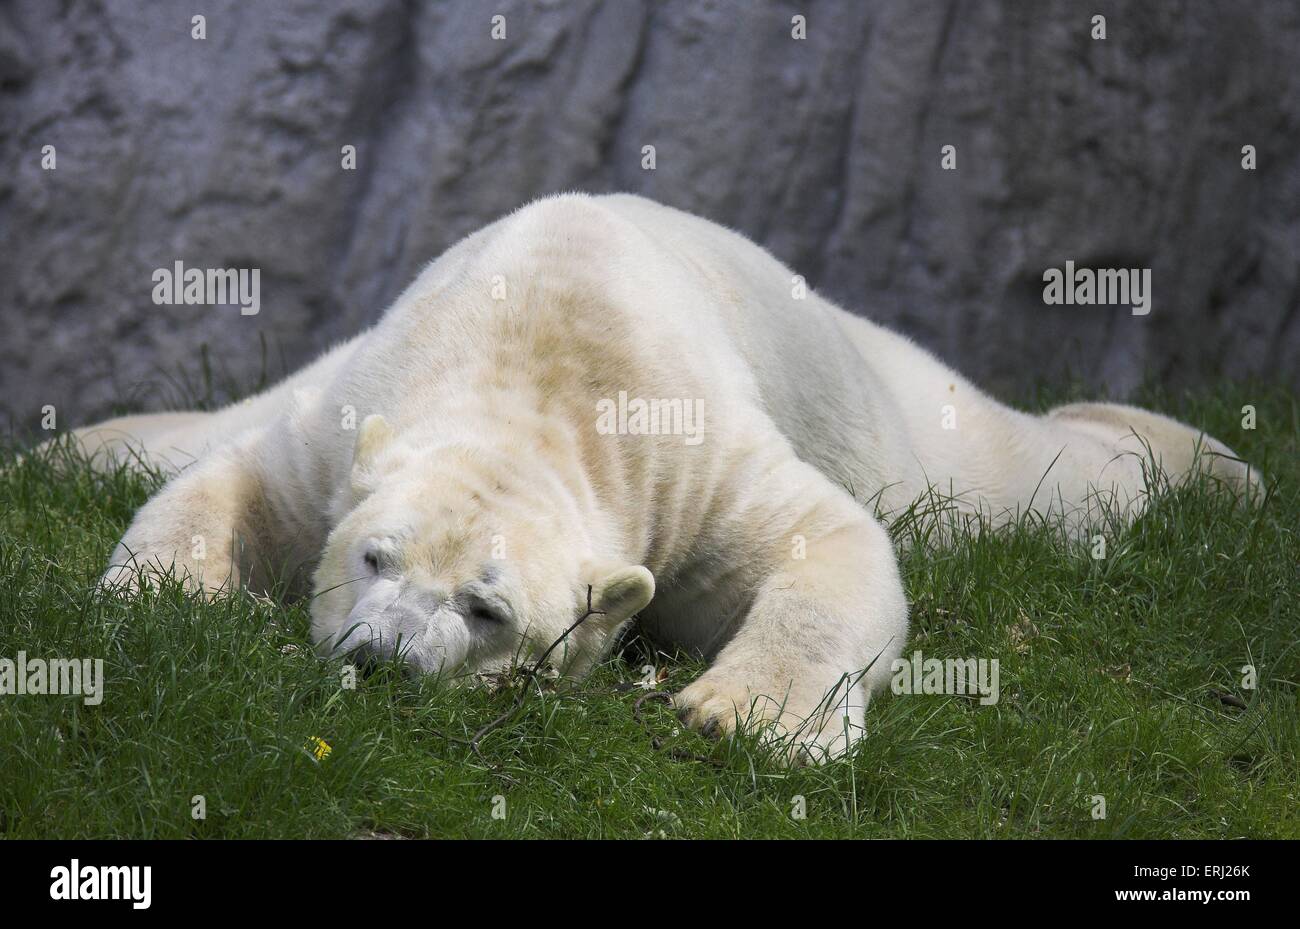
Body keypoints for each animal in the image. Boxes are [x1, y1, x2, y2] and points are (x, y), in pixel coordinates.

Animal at [78, 193, 1258, 763]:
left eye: (488, 609)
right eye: (374, 558)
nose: (382, 659)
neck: (529, 359)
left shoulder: (687, 461)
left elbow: (827, 540)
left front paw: (740, 717)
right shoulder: (351, 414)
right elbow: (240, 480)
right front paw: (168, 601)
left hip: (902, 421)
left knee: (1034, 478)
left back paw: (1218, 467)